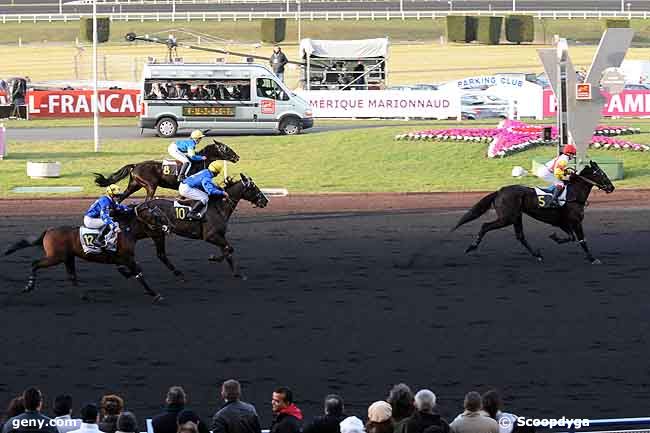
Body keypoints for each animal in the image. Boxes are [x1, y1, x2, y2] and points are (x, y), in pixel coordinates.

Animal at [92, 141, 239, 203]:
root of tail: (135, 165)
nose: (237, 157)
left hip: (134, 185)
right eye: (226, 148)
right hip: (151, 186)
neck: (198, 163)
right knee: (146, 200)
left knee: (120, 198)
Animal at [134, 174, 268, 278]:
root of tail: (142, 206)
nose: (265, 201)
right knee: (160, 254)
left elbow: (228, 250)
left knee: (161, 254)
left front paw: (237, 274)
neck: (218, 207)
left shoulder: (220, 235)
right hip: (156, 232)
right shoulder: (210, 236)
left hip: (155, 233)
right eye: (254, 187)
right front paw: (213, 258)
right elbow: (229, 248)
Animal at [450, 160, 612, 264]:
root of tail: (499, 191)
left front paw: (555, 237)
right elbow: (581, 240)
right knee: (485, 226)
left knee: (520, 236)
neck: (573, 195)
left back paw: (537, 255)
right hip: (507, 217)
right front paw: (593, 259)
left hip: (516, 216)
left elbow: (571, 237)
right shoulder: (575, 222)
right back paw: (472, 246)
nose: (611, 188)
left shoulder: (562, 223)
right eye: (602, 174)